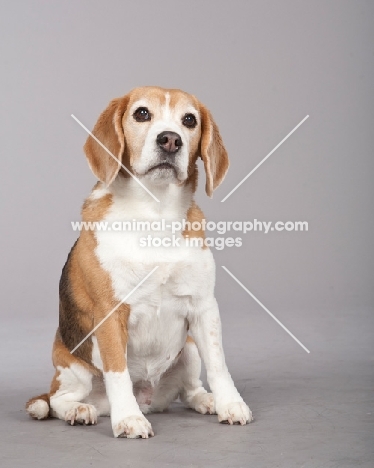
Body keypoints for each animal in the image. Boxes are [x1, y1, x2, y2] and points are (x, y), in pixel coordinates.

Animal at [26, 85, 253, 438]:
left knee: (189, 390)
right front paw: (129, 419)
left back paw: (207, 400)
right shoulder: (110, 314)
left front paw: (230, 404)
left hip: (189, 348)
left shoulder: (204, 307)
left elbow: (218, 363)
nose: (171, 140)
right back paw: (81, 410)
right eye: (142, 113)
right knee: (57, 399)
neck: (154, 214)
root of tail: (150, 398)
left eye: (190, 120)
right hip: (72, 366)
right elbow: (117, 373)